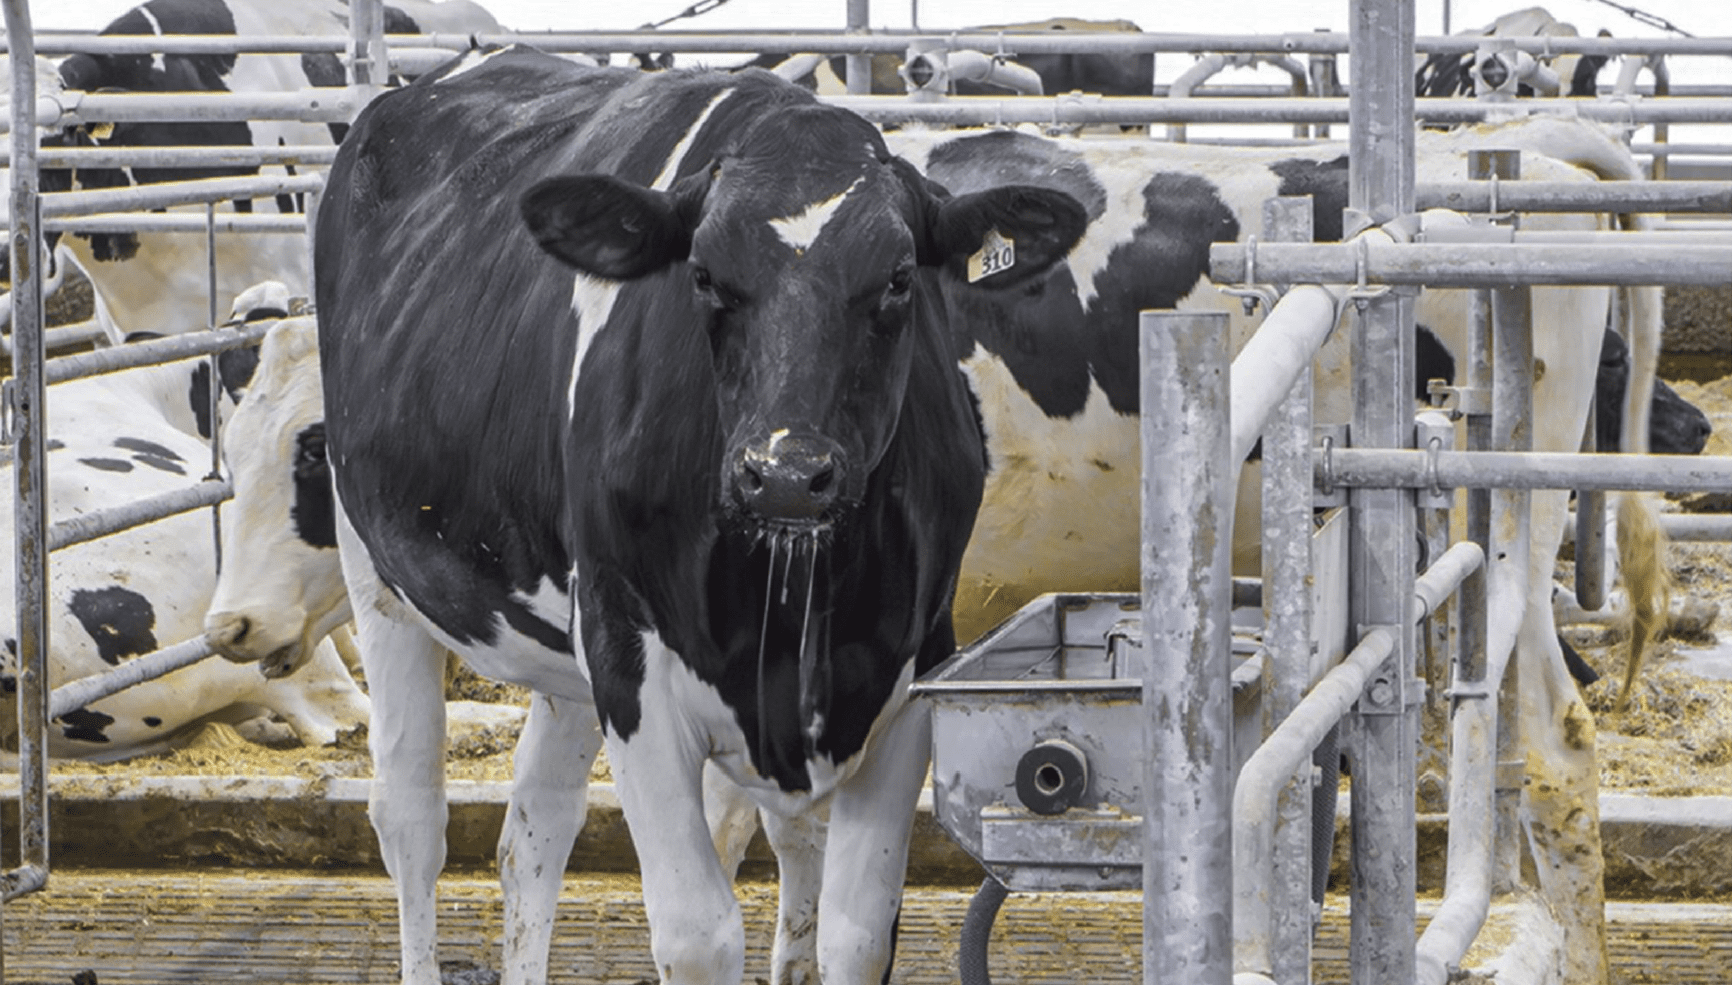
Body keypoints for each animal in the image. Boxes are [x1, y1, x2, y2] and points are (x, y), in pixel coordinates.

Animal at [306, 49, 1080, 983]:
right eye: (704, 276)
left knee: (533, 828)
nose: (785, 476)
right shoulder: (632, 664)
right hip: (377, 566)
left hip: (571, 631)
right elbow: (697, 932)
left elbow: (857, 929)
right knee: (412, 818)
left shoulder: (909, 668)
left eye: (900, 279)